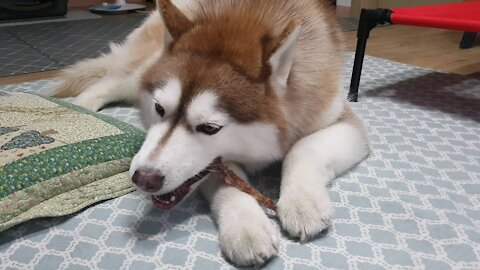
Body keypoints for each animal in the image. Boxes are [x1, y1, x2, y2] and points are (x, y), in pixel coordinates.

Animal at [55, 0, 372, 266]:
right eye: (159, 108)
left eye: (210, 128)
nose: (143, 179)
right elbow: (227, 181)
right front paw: (246, 227)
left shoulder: (342, 119)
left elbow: (302, 148)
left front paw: (301, 203)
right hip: (140, 68)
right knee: (105, 82)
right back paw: (77, 109)